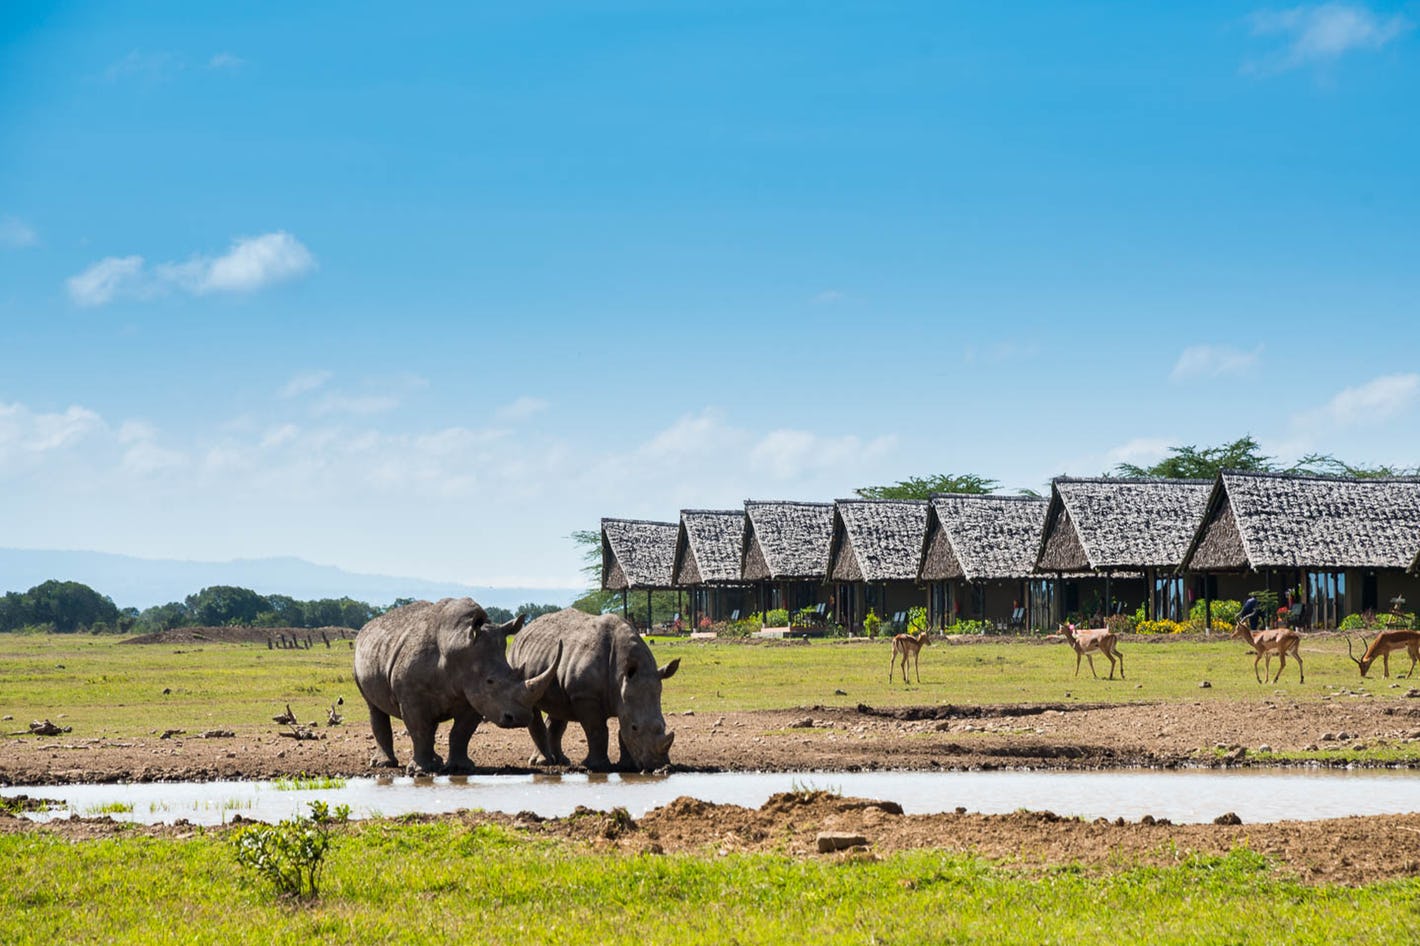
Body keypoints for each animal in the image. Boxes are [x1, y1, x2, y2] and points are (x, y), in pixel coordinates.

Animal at [352, 596, 562, 772]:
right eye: (490, 681)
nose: (519, 718)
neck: (457, 646)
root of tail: (368, 626)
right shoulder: (411, 697)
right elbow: (419, 729)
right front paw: (420, 770)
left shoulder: (474, 696)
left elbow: (461, 732)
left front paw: (460, 767)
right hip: (358, 657)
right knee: (374, 708)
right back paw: (383, 764)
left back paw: (435, 762)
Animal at [508, 607, 684, 772]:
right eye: (635, 728)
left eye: (664, 725)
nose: (658, 765)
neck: (621, 677)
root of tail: (523, 631)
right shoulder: (585, 695)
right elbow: (596, 730)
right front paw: (597, 766)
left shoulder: (624, 693)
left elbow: (621, 730)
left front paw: (628, 766)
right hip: (517, 664)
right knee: (530, 703)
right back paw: (543, 762)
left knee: (558, 709)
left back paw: (561, 761)